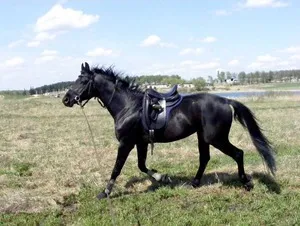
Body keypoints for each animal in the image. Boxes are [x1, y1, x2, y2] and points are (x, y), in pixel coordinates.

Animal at [62, 62, 276, 200]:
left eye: (82, 81)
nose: (66, 99)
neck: (128, 106)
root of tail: (226, 100)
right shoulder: (140, 142)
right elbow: (142, 165)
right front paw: (162, 177)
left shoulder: (126, 143)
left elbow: (117, 168)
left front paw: (105, 193)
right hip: (203, 137)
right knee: (204, 158)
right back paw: (194, 183)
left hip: (216, 138)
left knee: (238, 153)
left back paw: (246, 183)